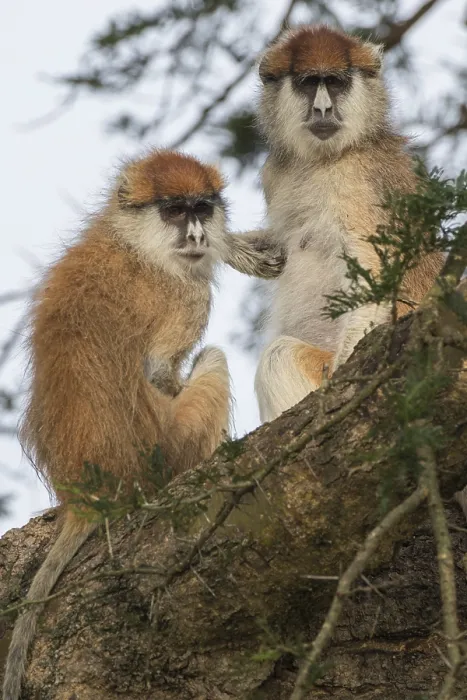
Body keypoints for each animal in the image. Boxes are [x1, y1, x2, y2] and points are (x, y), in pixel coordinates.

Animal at [3, 149, 234, 700]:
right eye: (174, 210)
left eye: (202, 207)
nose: (197, 237)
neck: (133, 241)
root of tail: (89, 493)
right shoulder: (183, 292)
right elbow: (160, 371)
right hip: (174, 447)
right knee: (213, 364)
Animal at [223, 24, 444, 423]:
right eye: (310, 83)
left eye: (336, 82)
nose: (323, 108)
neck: (324, 158)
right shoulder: (276, 174)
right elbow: (279, 245)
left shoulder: (355, 185)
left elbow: (374, 278)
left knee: (280, 356)